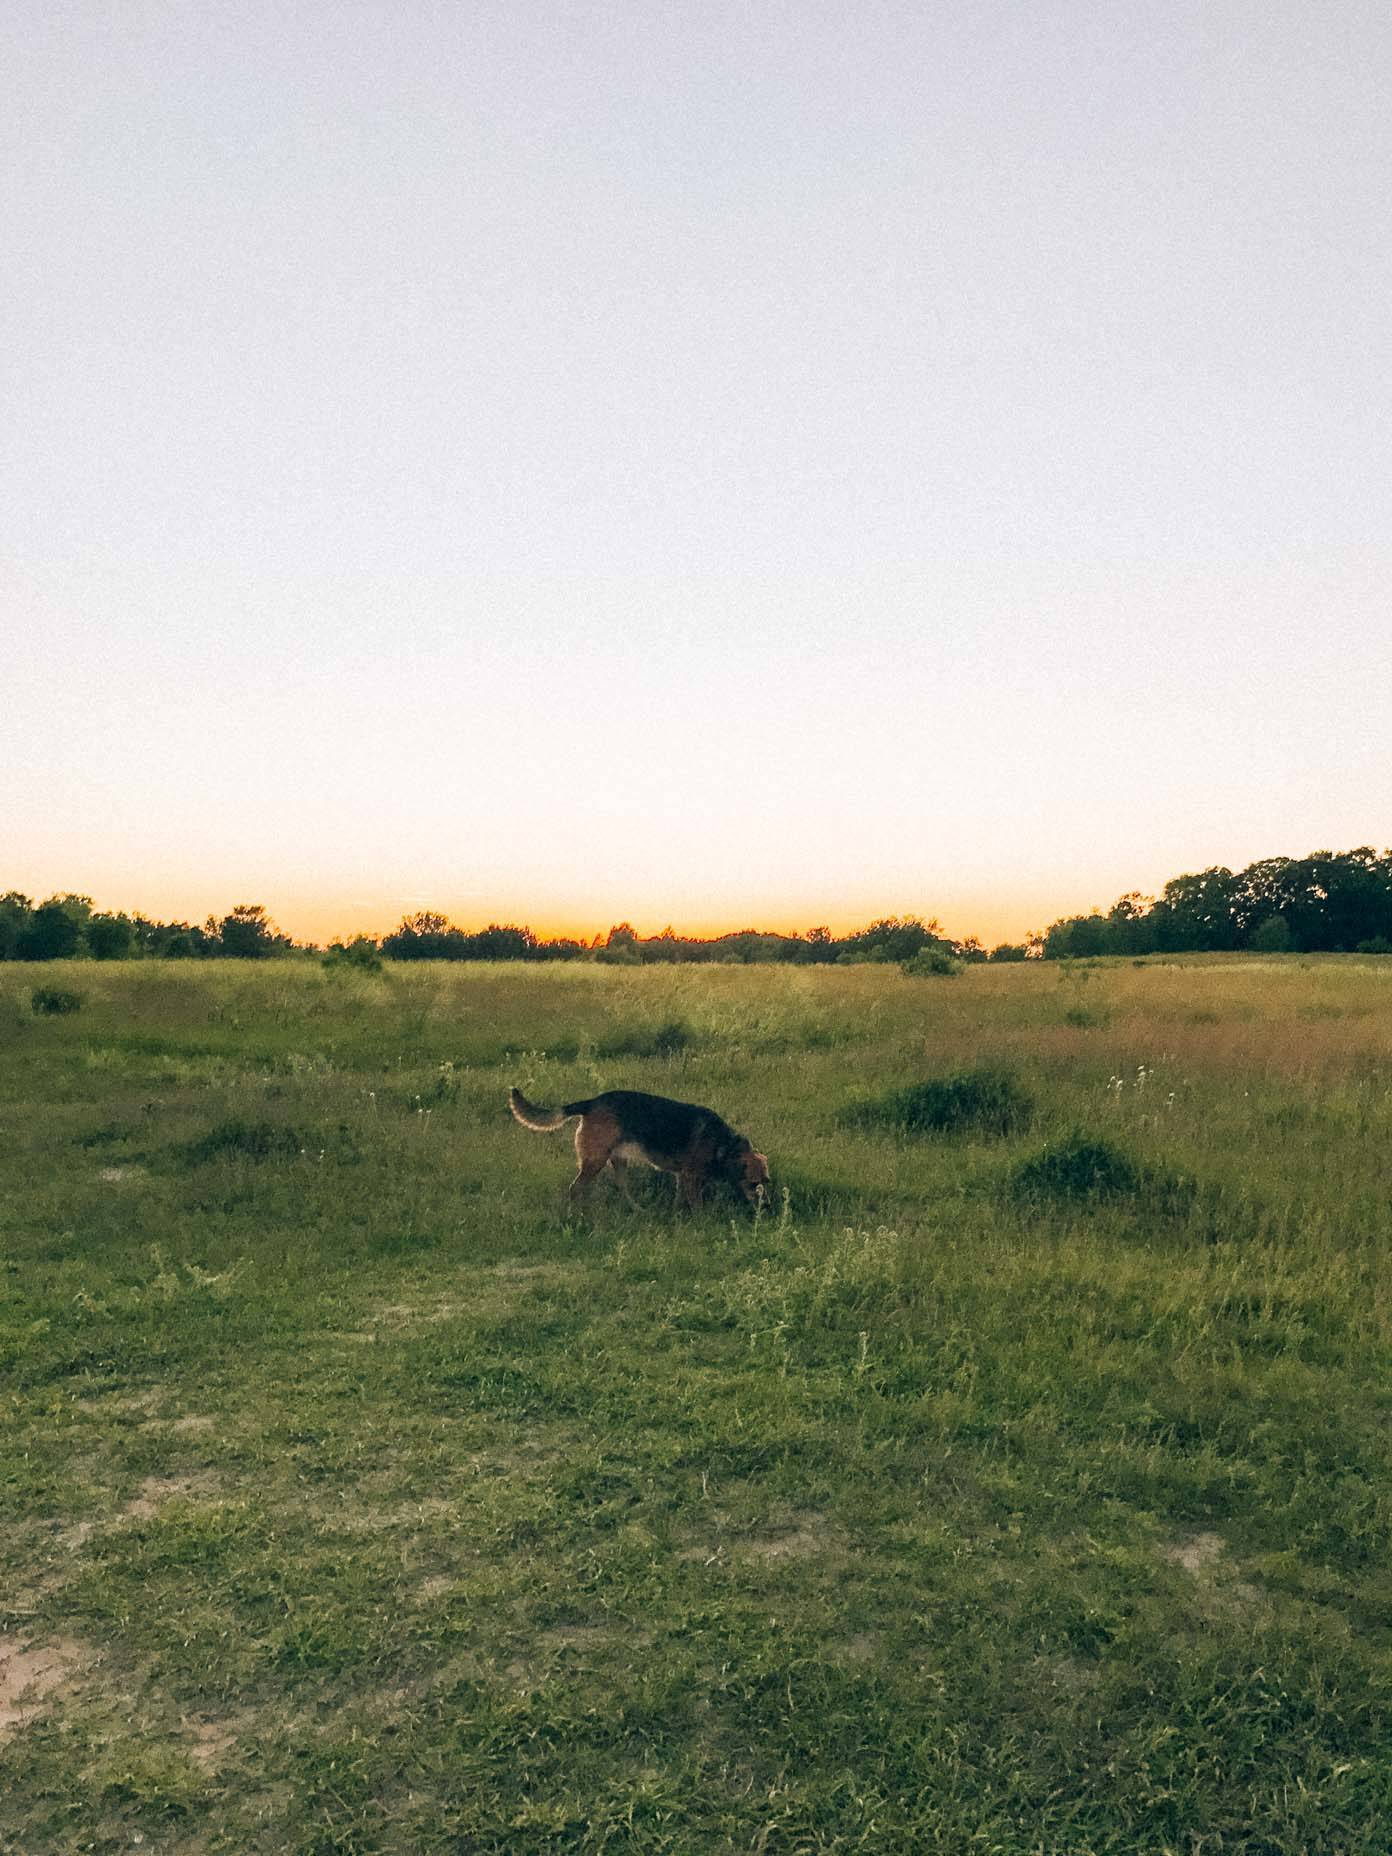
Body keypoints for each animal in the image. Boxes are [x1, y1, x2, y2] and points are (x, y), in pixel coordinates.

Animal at [512, 1083, 775, 1217]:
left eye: (766, 1181)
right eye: (754, 1183)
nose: (768, 1208)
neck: (725, 1145)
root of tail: (591, 1102)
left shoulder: (683, 1177)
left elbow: (680, 1200)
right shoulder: (691, 1177)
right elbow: (698, 1206)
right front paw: (703, 1222)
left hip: (617, 1160)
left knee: (620, 1187)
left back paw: (637, 1209)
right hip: (595, 1160)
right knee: (576, 1188)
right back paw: (576, 1216)